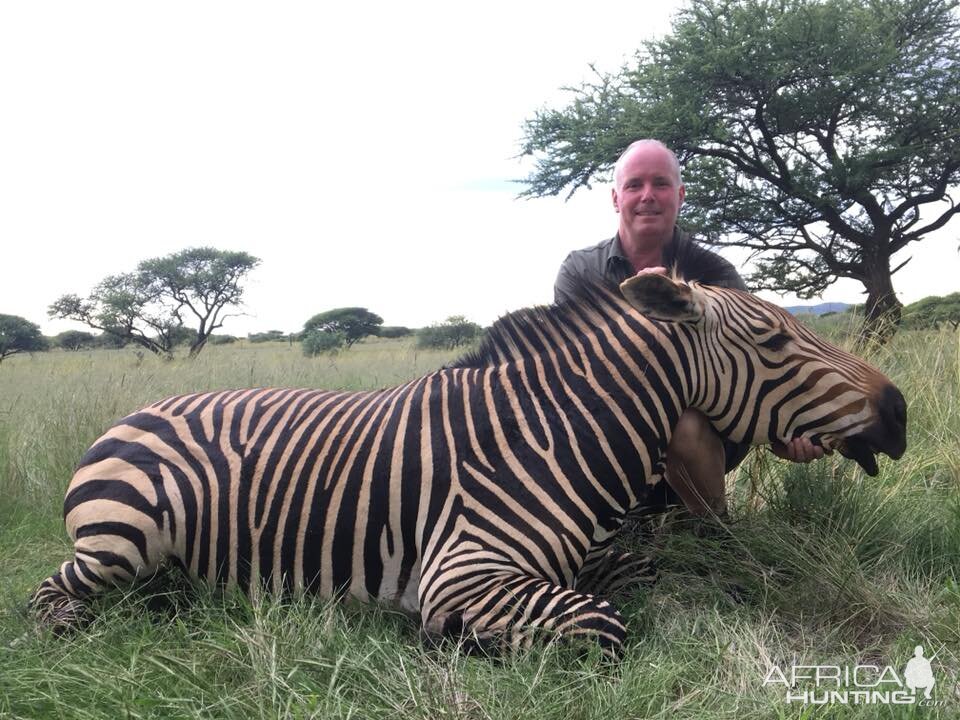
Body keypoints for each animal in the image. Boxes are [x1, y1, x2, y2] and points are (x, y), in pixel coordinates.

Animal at [26, 276, 904, 660]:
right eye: (777, 341)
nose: (897, 413)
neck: (552, 437)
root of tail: (132, 413)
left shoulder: (595, 555)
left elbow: (642, 578)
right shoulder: (463, 572)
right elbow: (604, 625)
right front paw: (461, 644)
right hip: (120, 541)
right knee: (49, 595)